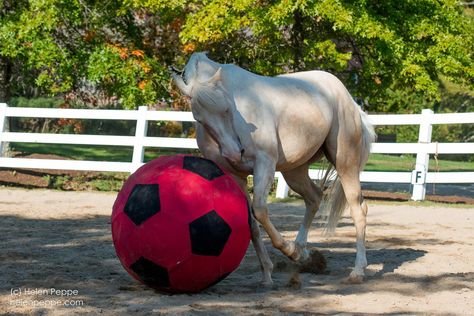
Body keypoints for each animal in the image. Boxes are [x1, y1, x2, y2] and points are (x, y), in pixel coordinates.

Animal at [172, 52, 376, 286]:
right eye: (199, 117)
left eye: (227, 109)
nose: (234, 153)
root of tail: (349, 100)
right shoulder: (236, 176)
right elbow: (251, 223)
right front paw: (268, 273)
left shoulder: (264, 164)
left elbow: (260, 210)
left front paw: (288, 251)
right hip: (294, 171)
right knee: (314, 198)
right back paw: (304, 253)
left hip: (345, 163)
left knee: (358, 208)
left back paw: (357, 270)